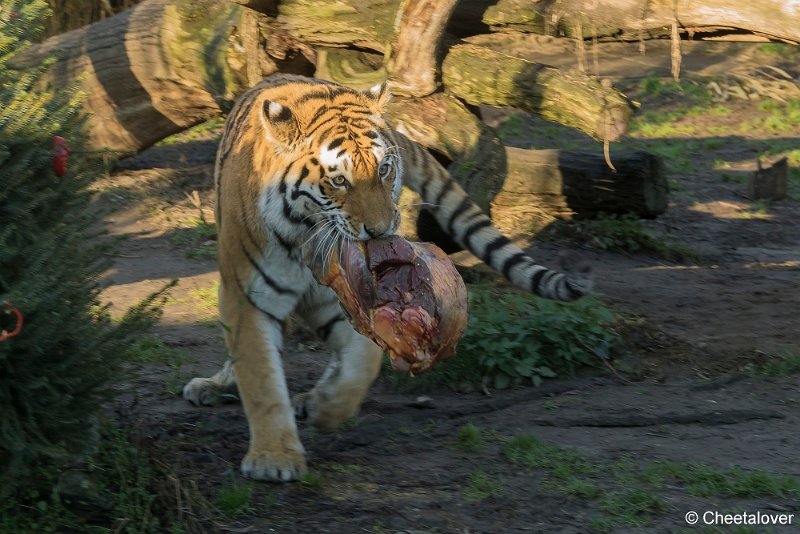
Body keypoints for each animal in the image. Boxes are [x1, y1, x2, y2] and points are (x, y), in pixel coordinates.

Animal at [183, 73, 592, 484]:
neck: (307, 238)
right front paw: (274, 458)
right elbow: (261, 378)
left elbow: (363, 364)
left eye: (383, 170)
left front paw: (327, 409)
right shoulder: (249, 297)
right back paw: (217, 386)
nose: (380, 230)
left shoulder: (345, 300)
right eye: (339, 180)